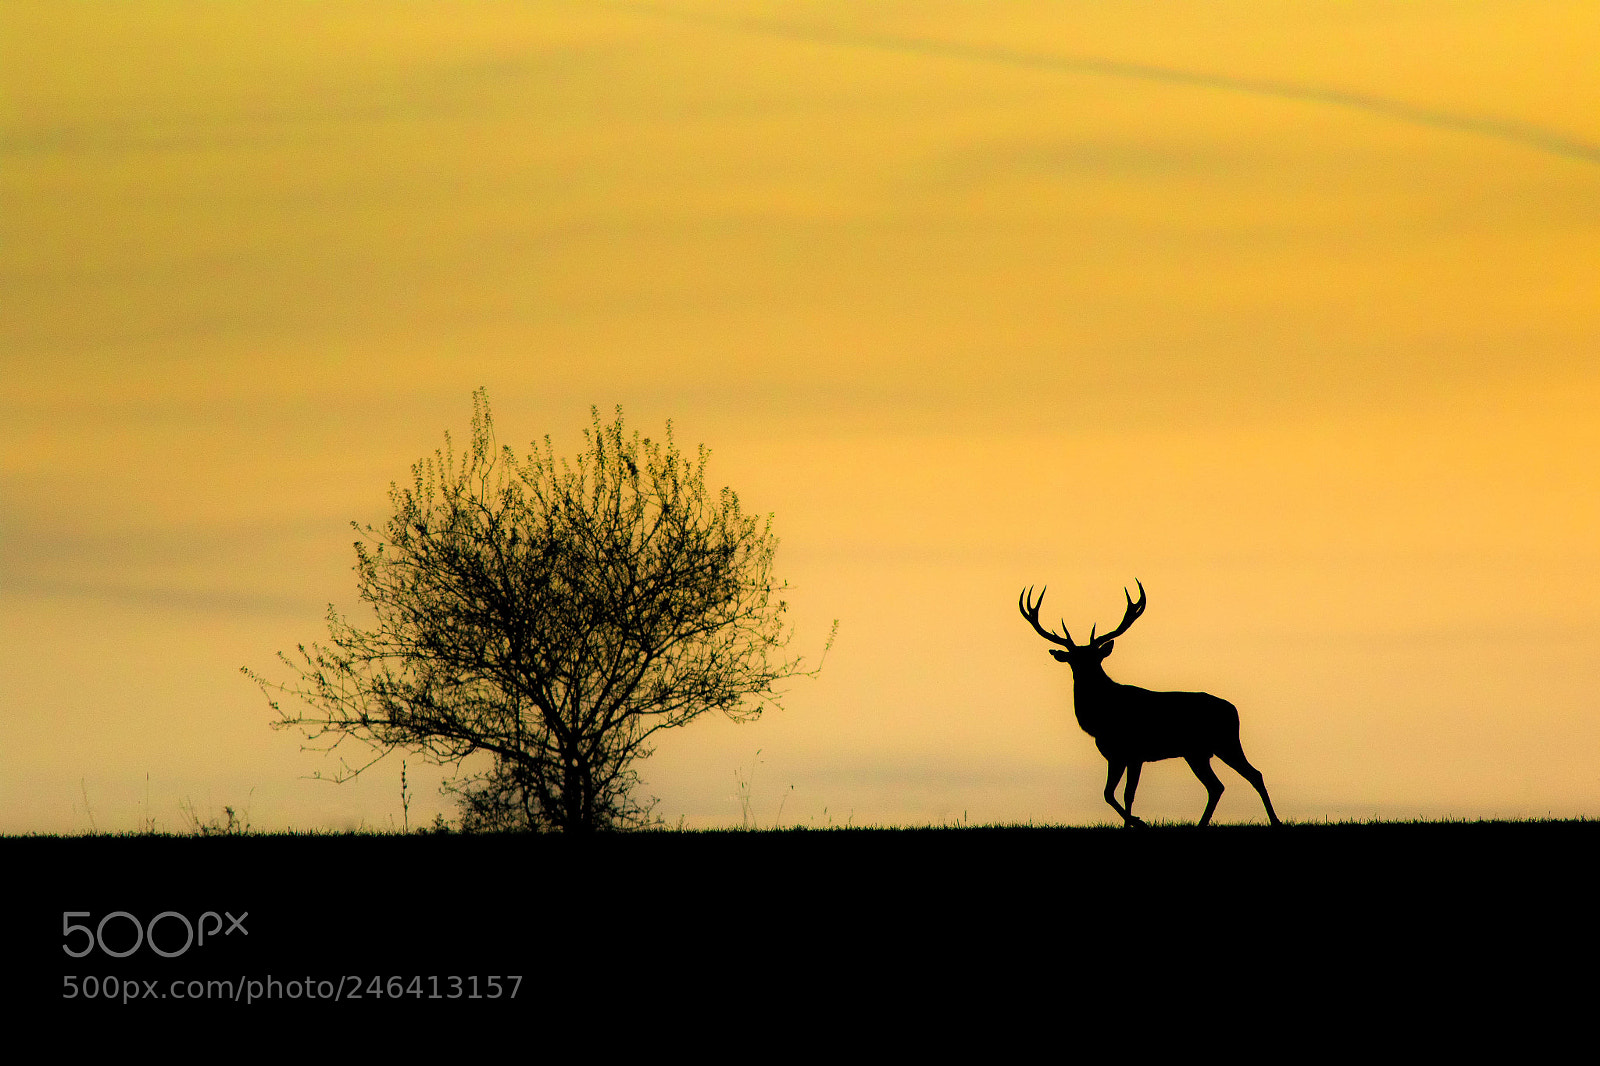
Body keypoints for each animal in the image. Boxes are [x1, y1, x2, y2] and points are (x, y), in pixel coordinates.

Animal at [1019, 581, 1281, 828]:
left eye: (1096, 658)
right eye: (1073, 660)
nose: (1085, 675)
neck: (1100, 718)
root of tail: (1233, 710)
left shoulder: (1135, 752)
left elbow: (1125, 794)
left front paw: (1139, 823)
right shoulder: (1115, 755)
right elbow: (1109, 794)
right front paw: (1131, 825)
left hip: (1226, 742)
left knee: (1253, 775)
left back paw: (1275, 821)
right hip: (1197, 752)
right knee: (1217, 786)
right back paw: (1202, 824)